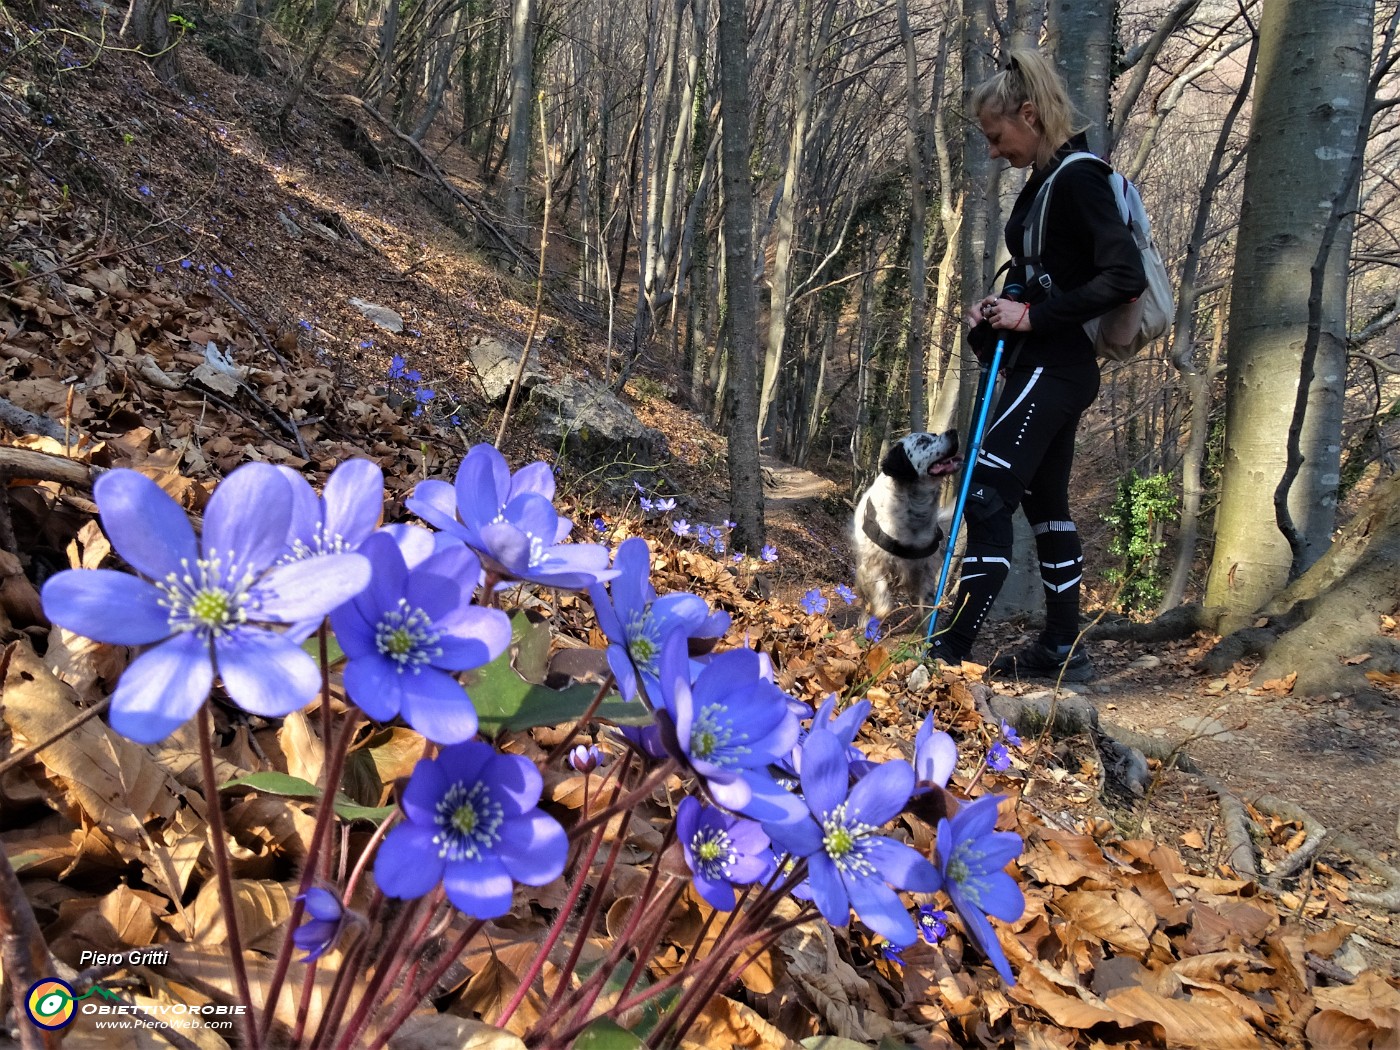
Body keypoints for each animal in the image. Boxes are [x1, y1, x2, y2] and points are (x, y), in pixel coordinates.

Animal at [851, 431, 963, 621]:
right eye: (922, 441)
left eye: (934, 434)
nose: (953, 432)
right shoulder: (873, 563)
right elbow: (882, 603)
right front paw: (878, 612)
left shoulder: (924, 570)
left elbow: (926, 607)